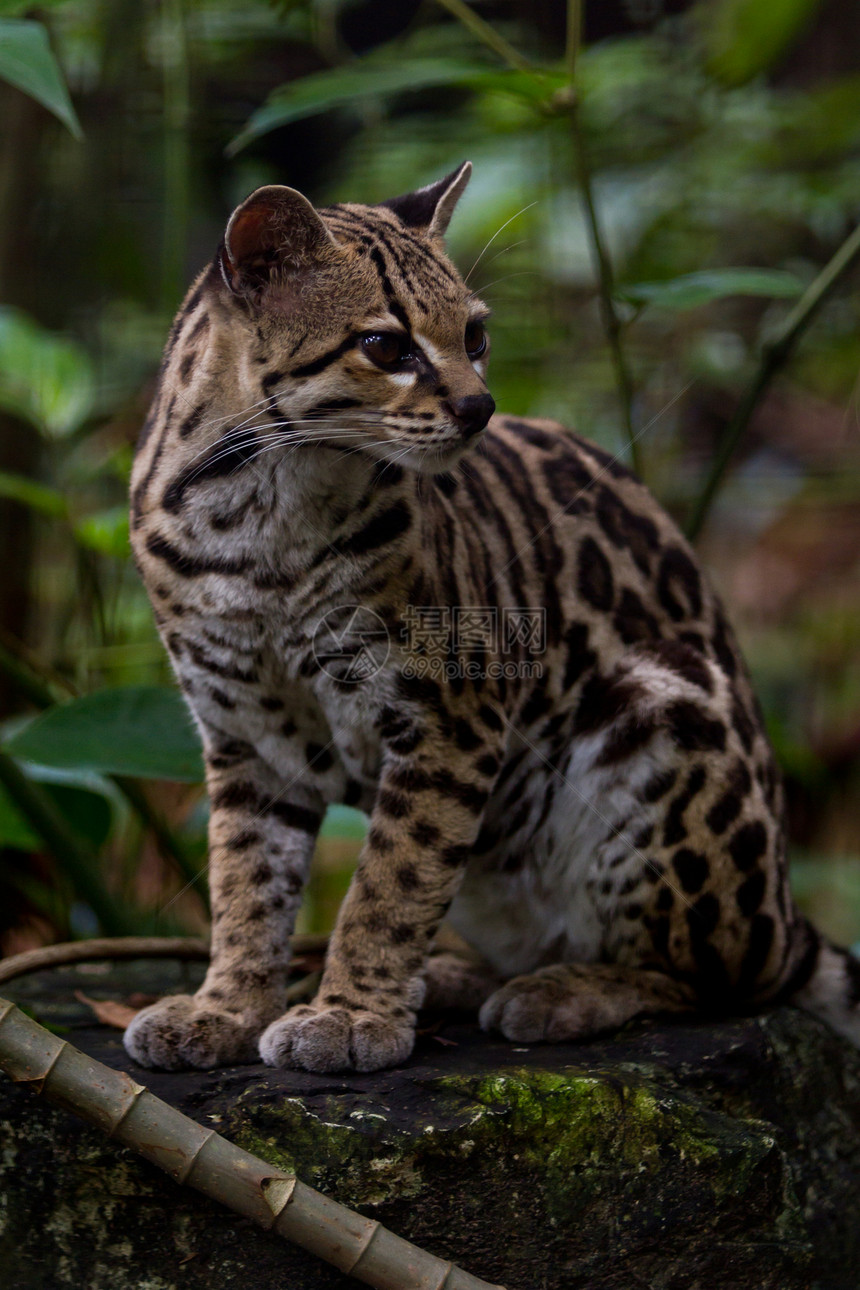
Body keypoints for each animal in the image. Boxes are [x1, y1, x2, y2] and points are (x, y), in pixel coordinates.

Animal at [124, 166, 856, 1073]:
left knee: (717, 977)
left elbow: (390, 882)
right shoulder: (245, 733)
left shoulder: (449, 714)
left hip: (661, 713)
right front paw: (224, 1007)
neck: (257, 508)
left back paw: (561, 991)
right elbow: (245, 885)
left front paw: (349, 1016)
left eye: (473, 335)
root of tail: (786, 916)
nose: (481, 406)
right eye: (386, 347)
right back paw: (455, 978)